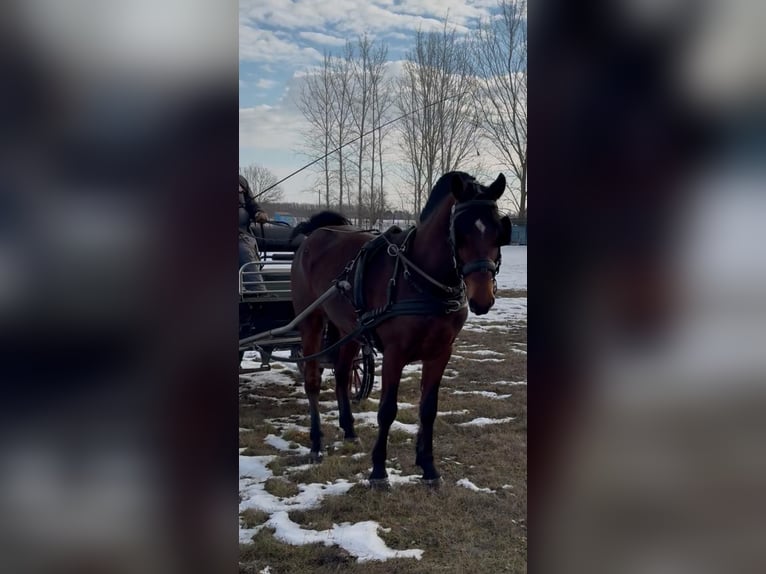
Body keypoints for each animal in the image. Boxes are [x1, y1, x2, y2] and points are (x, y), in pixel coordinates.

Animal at [289, 171, 512, 486]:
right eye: (460, 232)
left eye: (498, 231)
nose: (482, 298)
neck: (422, 278)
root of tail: (314, 236)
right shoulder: (395, 353)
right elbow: (387, 410)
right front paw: (378, 472)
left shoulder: (441, 352)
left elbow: (428, 410)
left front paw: (429, 468)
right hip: (311, 320)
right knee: (312, 381)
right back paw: (316, 443)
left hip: (349, 330)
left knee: (343, 375)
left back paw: (349, 430)